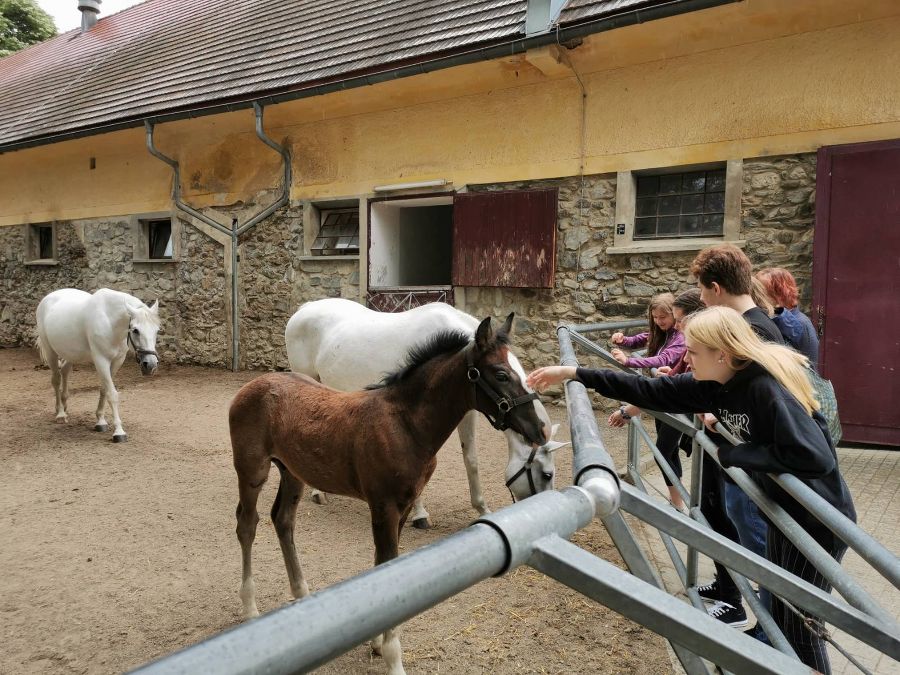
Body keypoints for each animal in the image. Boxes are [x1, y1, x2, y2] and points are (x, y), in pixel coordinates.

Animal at [36, 286, 162, 440]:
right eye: (135, 330)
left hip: (70, 353)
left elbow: (104, 390)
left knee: (65, 371)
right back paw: (60, 413)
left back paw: (64, 405)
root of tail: (47, 298)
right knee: (56, 379)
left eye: (157, 330)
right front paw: (119, 431)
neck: (110, 321)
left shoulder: (117, 361)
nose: (150, 365)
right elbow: (112, 394)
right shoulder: (101, 360)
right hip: (51, 352)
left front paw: (100, 421)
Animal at [229, 314, 544, 672]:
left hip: (293, 472)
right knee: (247, 524)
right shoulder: (384, 505)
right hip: (252, 470)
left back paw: (302, 595)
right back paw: (250, 608)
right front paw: (393, 657)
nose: (538, 429)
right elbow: (388, 565)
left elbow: (383, 565)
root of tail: (254, 384)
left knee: (282, 520)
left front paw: (378, 642)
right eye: (501, 374)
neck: (406, 425)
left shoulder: (403, 507)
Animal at [284, 300, 568, 528]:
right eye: (547, 474)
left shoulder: (467, 412)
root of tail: (306, 308)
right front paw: (420, 515)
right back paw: (317, 492)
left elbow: (471, 460)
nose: (540, 428)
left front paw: (482, 509)